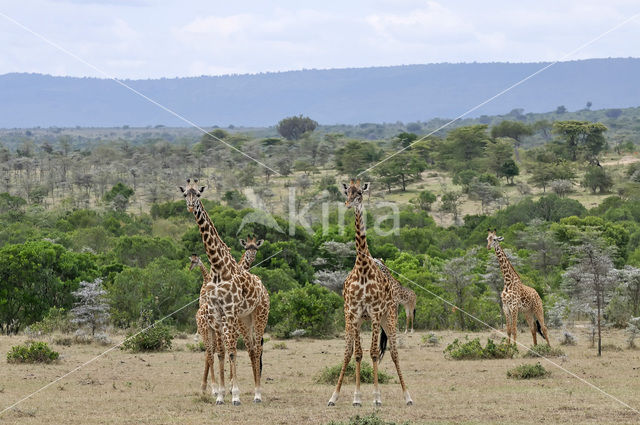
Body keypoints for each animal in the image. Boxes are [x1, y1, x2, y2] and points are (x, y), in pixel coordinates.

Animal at [189, 235, 264, 394]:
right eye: (246, 247)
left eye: (256, 247)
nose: (251, 256)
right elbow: (229, 351)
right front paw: (229, 385)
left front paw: (229, 385)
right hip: (209, 329)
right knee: (209, 352)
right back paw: (209, 387)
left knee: (210, 351)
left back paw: (207, 386)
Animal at [328, 180, 412, 408]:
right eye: (346, 193)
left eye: (360, 193)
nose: (349, 204)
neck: (363, 268)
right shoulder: (355, 314)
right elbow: (357, 354)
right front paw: (356, 398)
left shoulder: (374, 314)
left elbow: (374, 353)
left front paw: (377, 397)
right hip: (353, 321)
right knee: (348, 352)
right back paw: (334, 396)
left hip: (389, 317)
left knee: (394, 352)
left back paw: (408, 396)